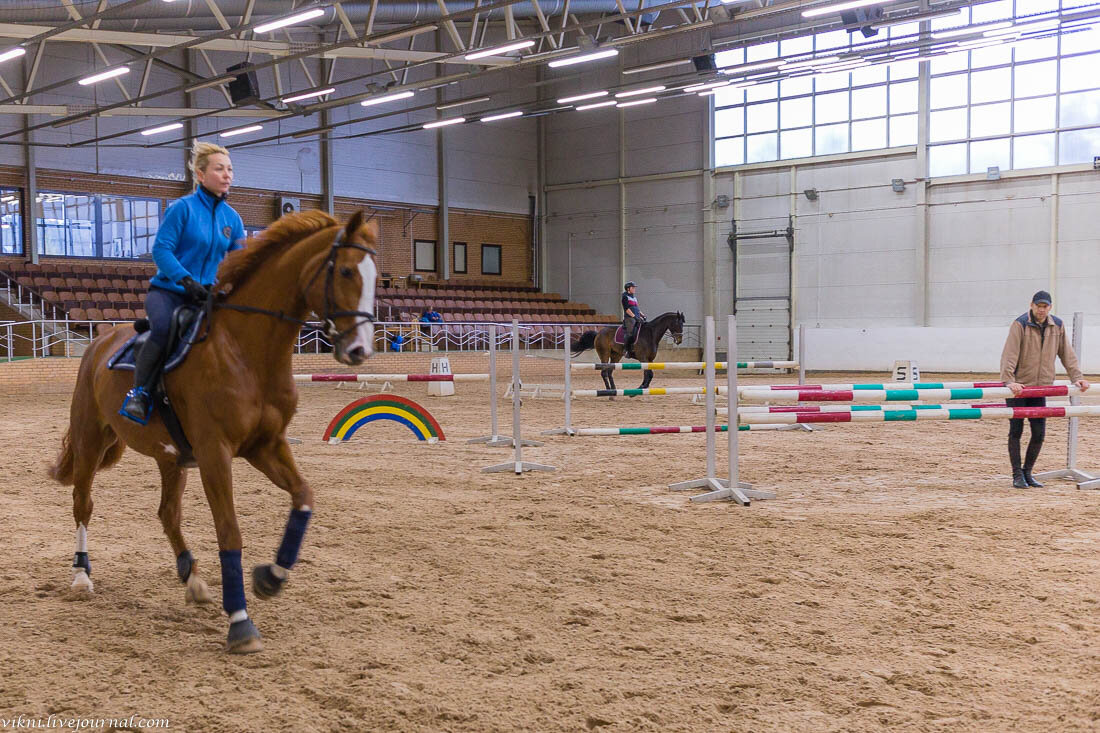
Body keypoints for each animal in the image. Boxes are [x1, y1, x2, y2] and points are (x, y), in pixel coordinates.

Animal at [47, 210, 380, 651]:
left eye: (377, 276)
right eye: (344, 270)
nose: (359, 350)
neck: (246, 351)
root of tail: (99, 342)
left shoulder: (266, 445)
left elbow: (304, 497)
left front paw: (271, 578)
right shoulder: (214, 452)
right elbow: (229, 531)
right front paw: (240, 622)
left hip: (171, 458)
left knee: (168, 513)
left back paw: (192, 578)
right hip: (90, 440)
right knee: (82, 504)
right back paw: (82, 575)